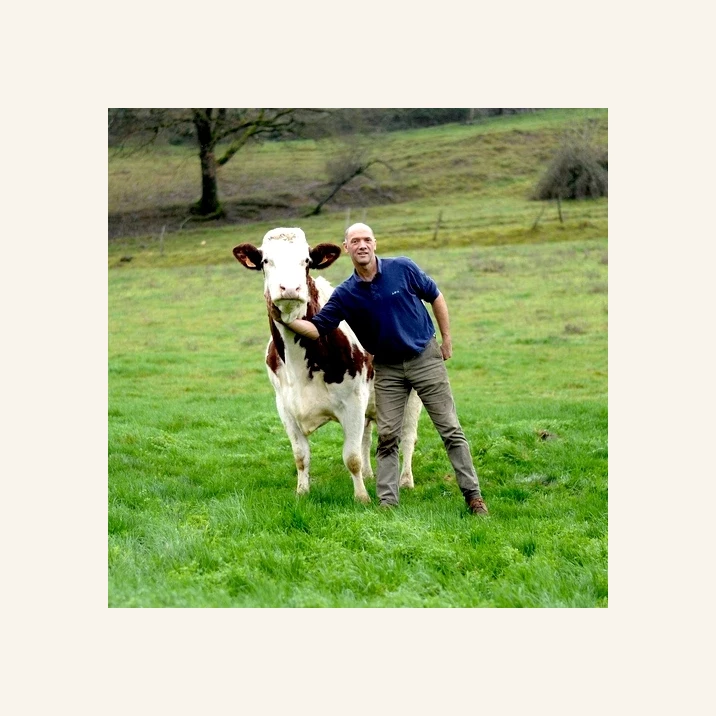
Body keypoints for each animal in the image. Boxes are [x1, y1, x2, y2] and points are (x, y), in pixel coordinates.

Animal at [232, 225, 422, 504]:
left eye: (307, 261)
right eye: (266, 260)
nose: (290, 288)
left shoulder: (353, 402)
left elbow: (351, 457)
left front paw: (362, 497)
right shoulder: (285, 408)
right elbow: (301, 456)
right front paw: (302, 492)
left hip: (412, 397)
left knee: (407, 437)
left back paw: (406, 481)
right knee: (367, 437)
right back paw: (370, 474)